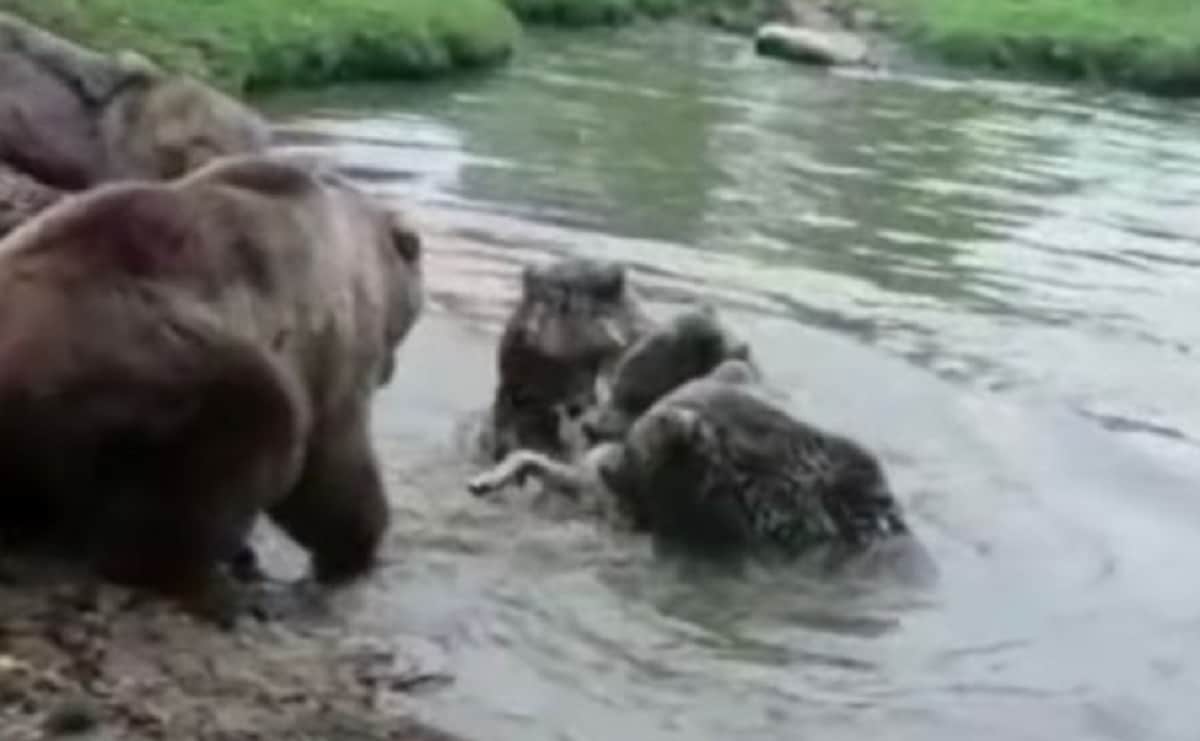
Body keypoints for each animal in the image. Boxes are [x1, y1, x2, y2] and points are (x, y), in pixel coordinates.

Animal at [0, 151, 424, 624]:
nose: (392, 369)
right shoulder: (332, 343)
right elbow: (334, 469)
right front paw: (356, 552)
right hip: (140, 369)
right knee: (242, 438)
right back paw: (213, 583)